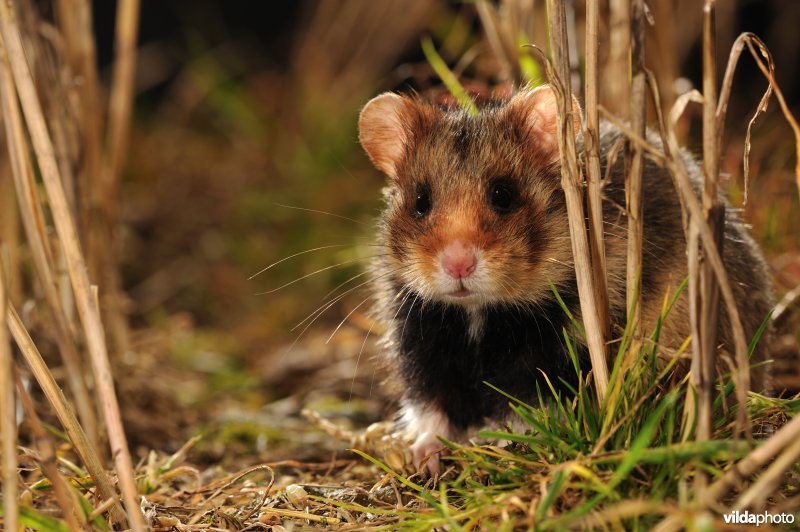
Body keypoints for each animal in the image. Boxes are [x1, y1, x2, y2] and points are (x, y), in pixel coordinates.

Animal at [357, 85, 773, 474]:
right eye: (420, 202)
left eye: (503, 195)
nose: (458, 265)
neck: (479, 312)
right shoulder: (421, 339)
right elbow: (433, 411)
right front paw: (424, 458)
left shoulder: (557, 353)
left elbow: (526, 409)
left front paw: (494, 441)